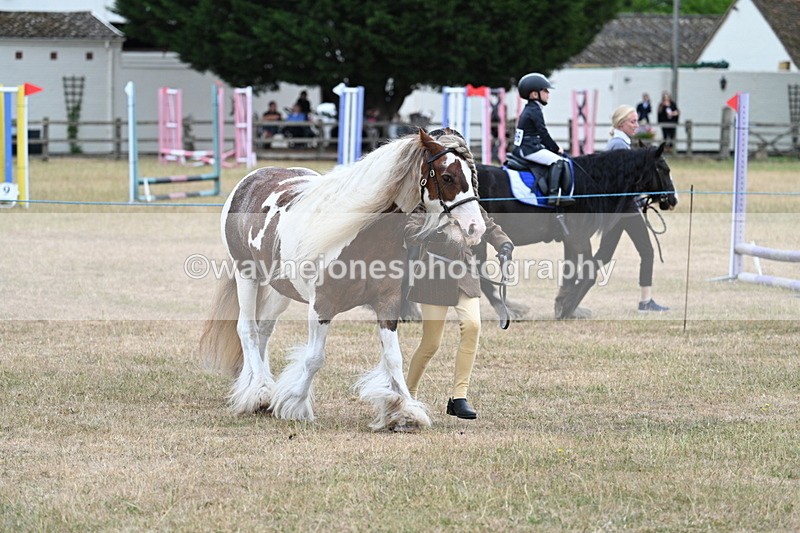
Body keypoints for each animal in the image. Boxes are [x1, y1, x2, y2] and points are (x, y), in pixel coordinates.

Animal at [199, 129, 484, 432]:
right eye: (447, 176)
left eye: (471, 174)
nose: (476, 228)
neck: (362, 237)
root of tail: (250, 180)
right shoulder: (322, 307)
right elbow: (314, 358)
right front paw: (294, 404)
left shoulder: (388, 304)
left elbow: (394, 358)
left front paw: (403, 412)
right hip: (247, 276)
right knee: (248, 330)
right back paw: (259, 394)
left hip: (280, 290)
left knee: (263, 330)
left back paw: (259, 386)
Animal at [475, 143, 678, 320]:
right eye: (664, 169)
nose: (674, 200)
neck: (588, 184)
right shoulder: (578, 238)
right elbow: (589, 273)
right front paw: (568, 306)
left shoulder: (571, 239)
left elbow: (570, 273)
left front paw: (563, 303)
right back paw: (509, 309)